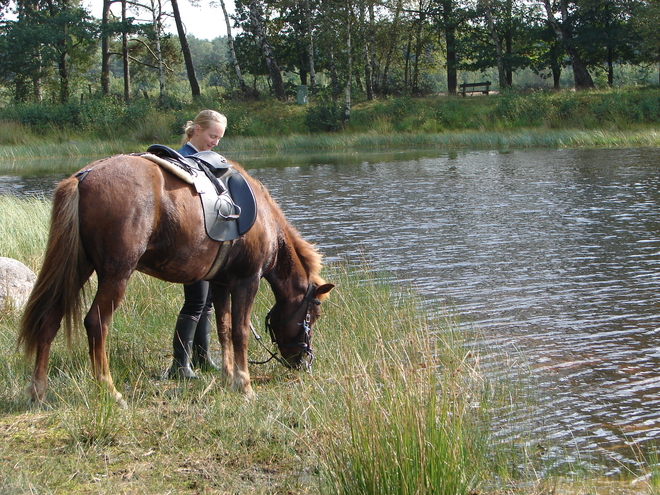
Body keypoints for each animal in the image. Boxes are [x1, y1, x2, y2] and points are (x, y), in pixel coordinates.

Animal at [15, 155, 336, 406]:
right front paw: (244, 385)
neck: (265, 222)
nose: (303, 361)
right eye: (313, 314)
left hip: (79, 268)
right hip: (116, 273)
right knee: (96, 323)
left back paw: (38, 391)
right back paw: (109, 390)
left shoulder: (220, 283)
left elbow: (223, 329)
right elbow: (240, 332)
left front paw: (228, 378)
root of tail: (82, 178)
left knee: (49, 320)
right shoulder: (247, 281)